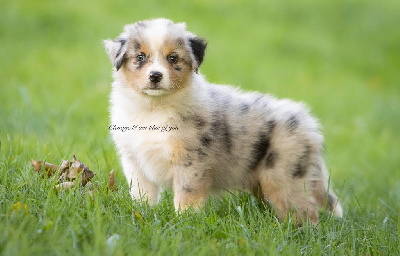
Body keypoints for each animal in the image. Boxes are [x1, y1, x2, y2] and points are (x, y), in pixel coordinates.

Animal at [104, 19, 342, 225]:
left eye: (173, 58)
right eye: (140, 57)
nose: (155, 76)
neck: (152, 108)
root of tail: (308, 123)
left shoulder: (191, 161)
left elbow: (186, 196)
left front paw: (185, 223)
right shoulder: (134, 160)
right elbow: (141, 194)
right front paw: (141, 214)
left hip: (284, 177)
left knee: (306, 212)